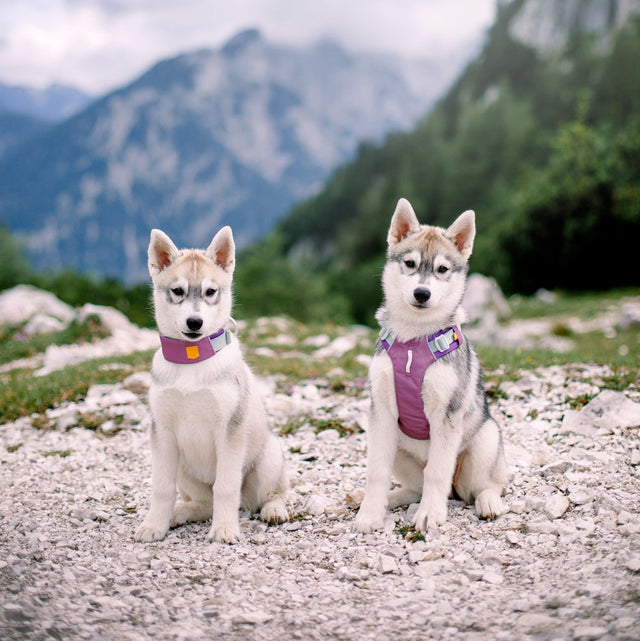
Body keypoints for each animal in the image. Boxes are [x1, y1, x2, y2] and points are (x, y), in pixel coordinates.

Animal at [135, 226, 288, 544]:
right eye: (177, 291)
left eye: (210, 292)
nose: (195, 322)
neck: (192, 362)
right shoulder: (162, 432)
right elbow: (162, 488)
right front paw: (154, 525)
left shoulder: (229, 429)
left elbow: (225, 487)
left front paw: (225, 529)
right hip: (184, 469)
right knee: (204, 503)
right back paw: (180, 513)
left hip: (269, 457)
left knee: (272, 493)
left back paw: (273, 510)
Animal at [355, 198, 507, 533]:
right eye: (410, 264)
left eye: (442, 269)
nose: (421, 293)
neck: (414, 339)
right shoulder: (381, 412)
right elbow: (376, 472)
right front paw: (370, 514)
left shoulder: (447, 414)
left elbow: (437, 472)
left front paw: (430, 514)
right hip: (396, 446)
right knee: (415, 486)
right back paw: (392, 498)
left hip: (485, 440)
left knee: (484, 484)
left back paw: (488, 502)